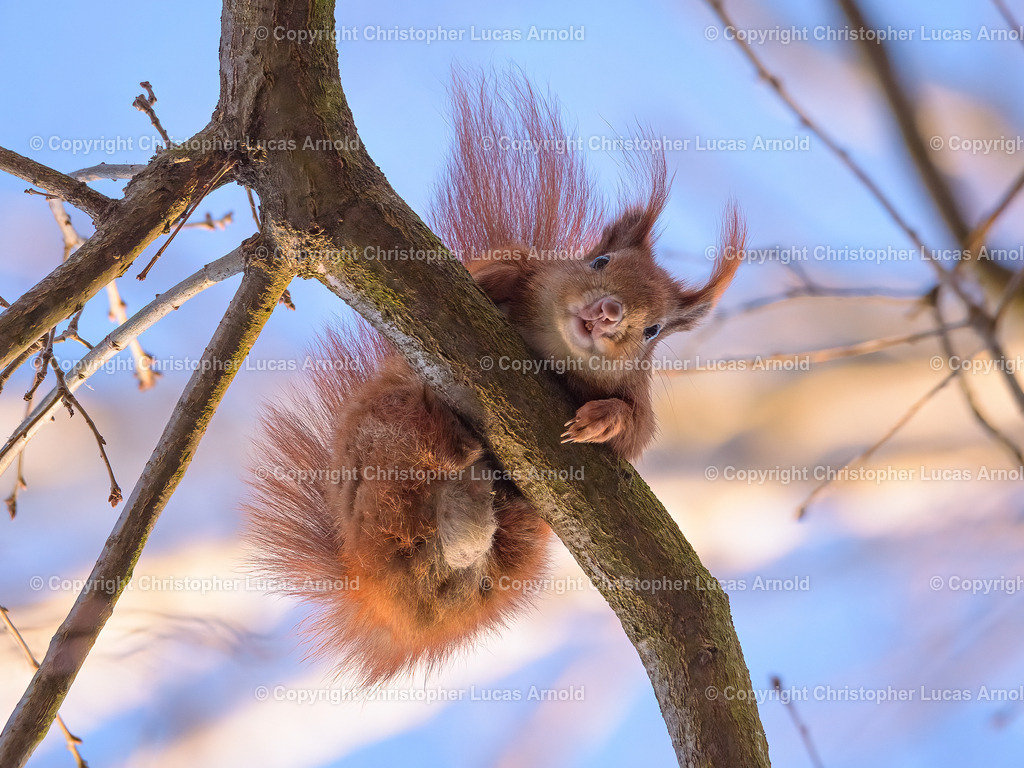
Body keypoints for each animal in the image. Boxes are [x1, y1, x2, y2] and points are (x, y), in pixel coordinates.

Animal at [242, 70, 744, 686]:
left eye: (652, 331)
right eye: (600, 261)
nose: (608, 313)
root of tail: (376, 587)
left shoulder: (637, 395)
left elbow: (635, 431)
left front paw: (599, 422)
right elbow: (497, 269)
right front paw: (497, 280)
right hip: (383, 432)